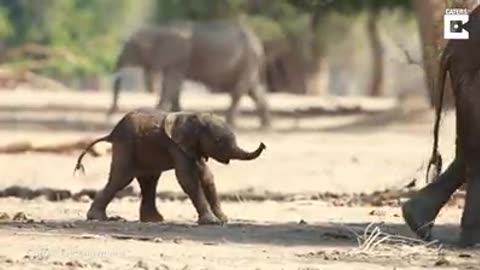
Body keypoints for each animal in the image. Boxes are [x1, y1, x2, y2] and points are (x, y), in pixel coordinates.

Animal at [74, 108, 266, 225]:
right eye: (219, 141)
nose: (263, 144)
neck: (194, 117)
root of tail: (111, 133)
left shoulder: (192, 146)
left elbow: (206, 176)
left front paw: (223, 220)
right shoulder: (176, 145)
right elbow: (187, 178)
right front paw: (212, 222)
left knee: (149, 180)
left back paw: (154, 220)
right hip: (126, 145)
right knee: (122, 179)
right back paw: (98, 218)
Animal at [109, 19, 274, 129]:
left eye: (130, 48)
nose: (110, 114)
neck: (159, 30)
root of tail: (259, 45)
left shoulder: (178, 56)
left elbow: (171, 83)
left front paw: (157, 113)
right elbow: (174, 86)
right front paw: (175, 116)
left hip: (248, 60)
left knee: (239, 91)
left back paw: (230, 123)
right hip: (248, 63)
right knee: (254, 91)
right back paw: (265, 126)